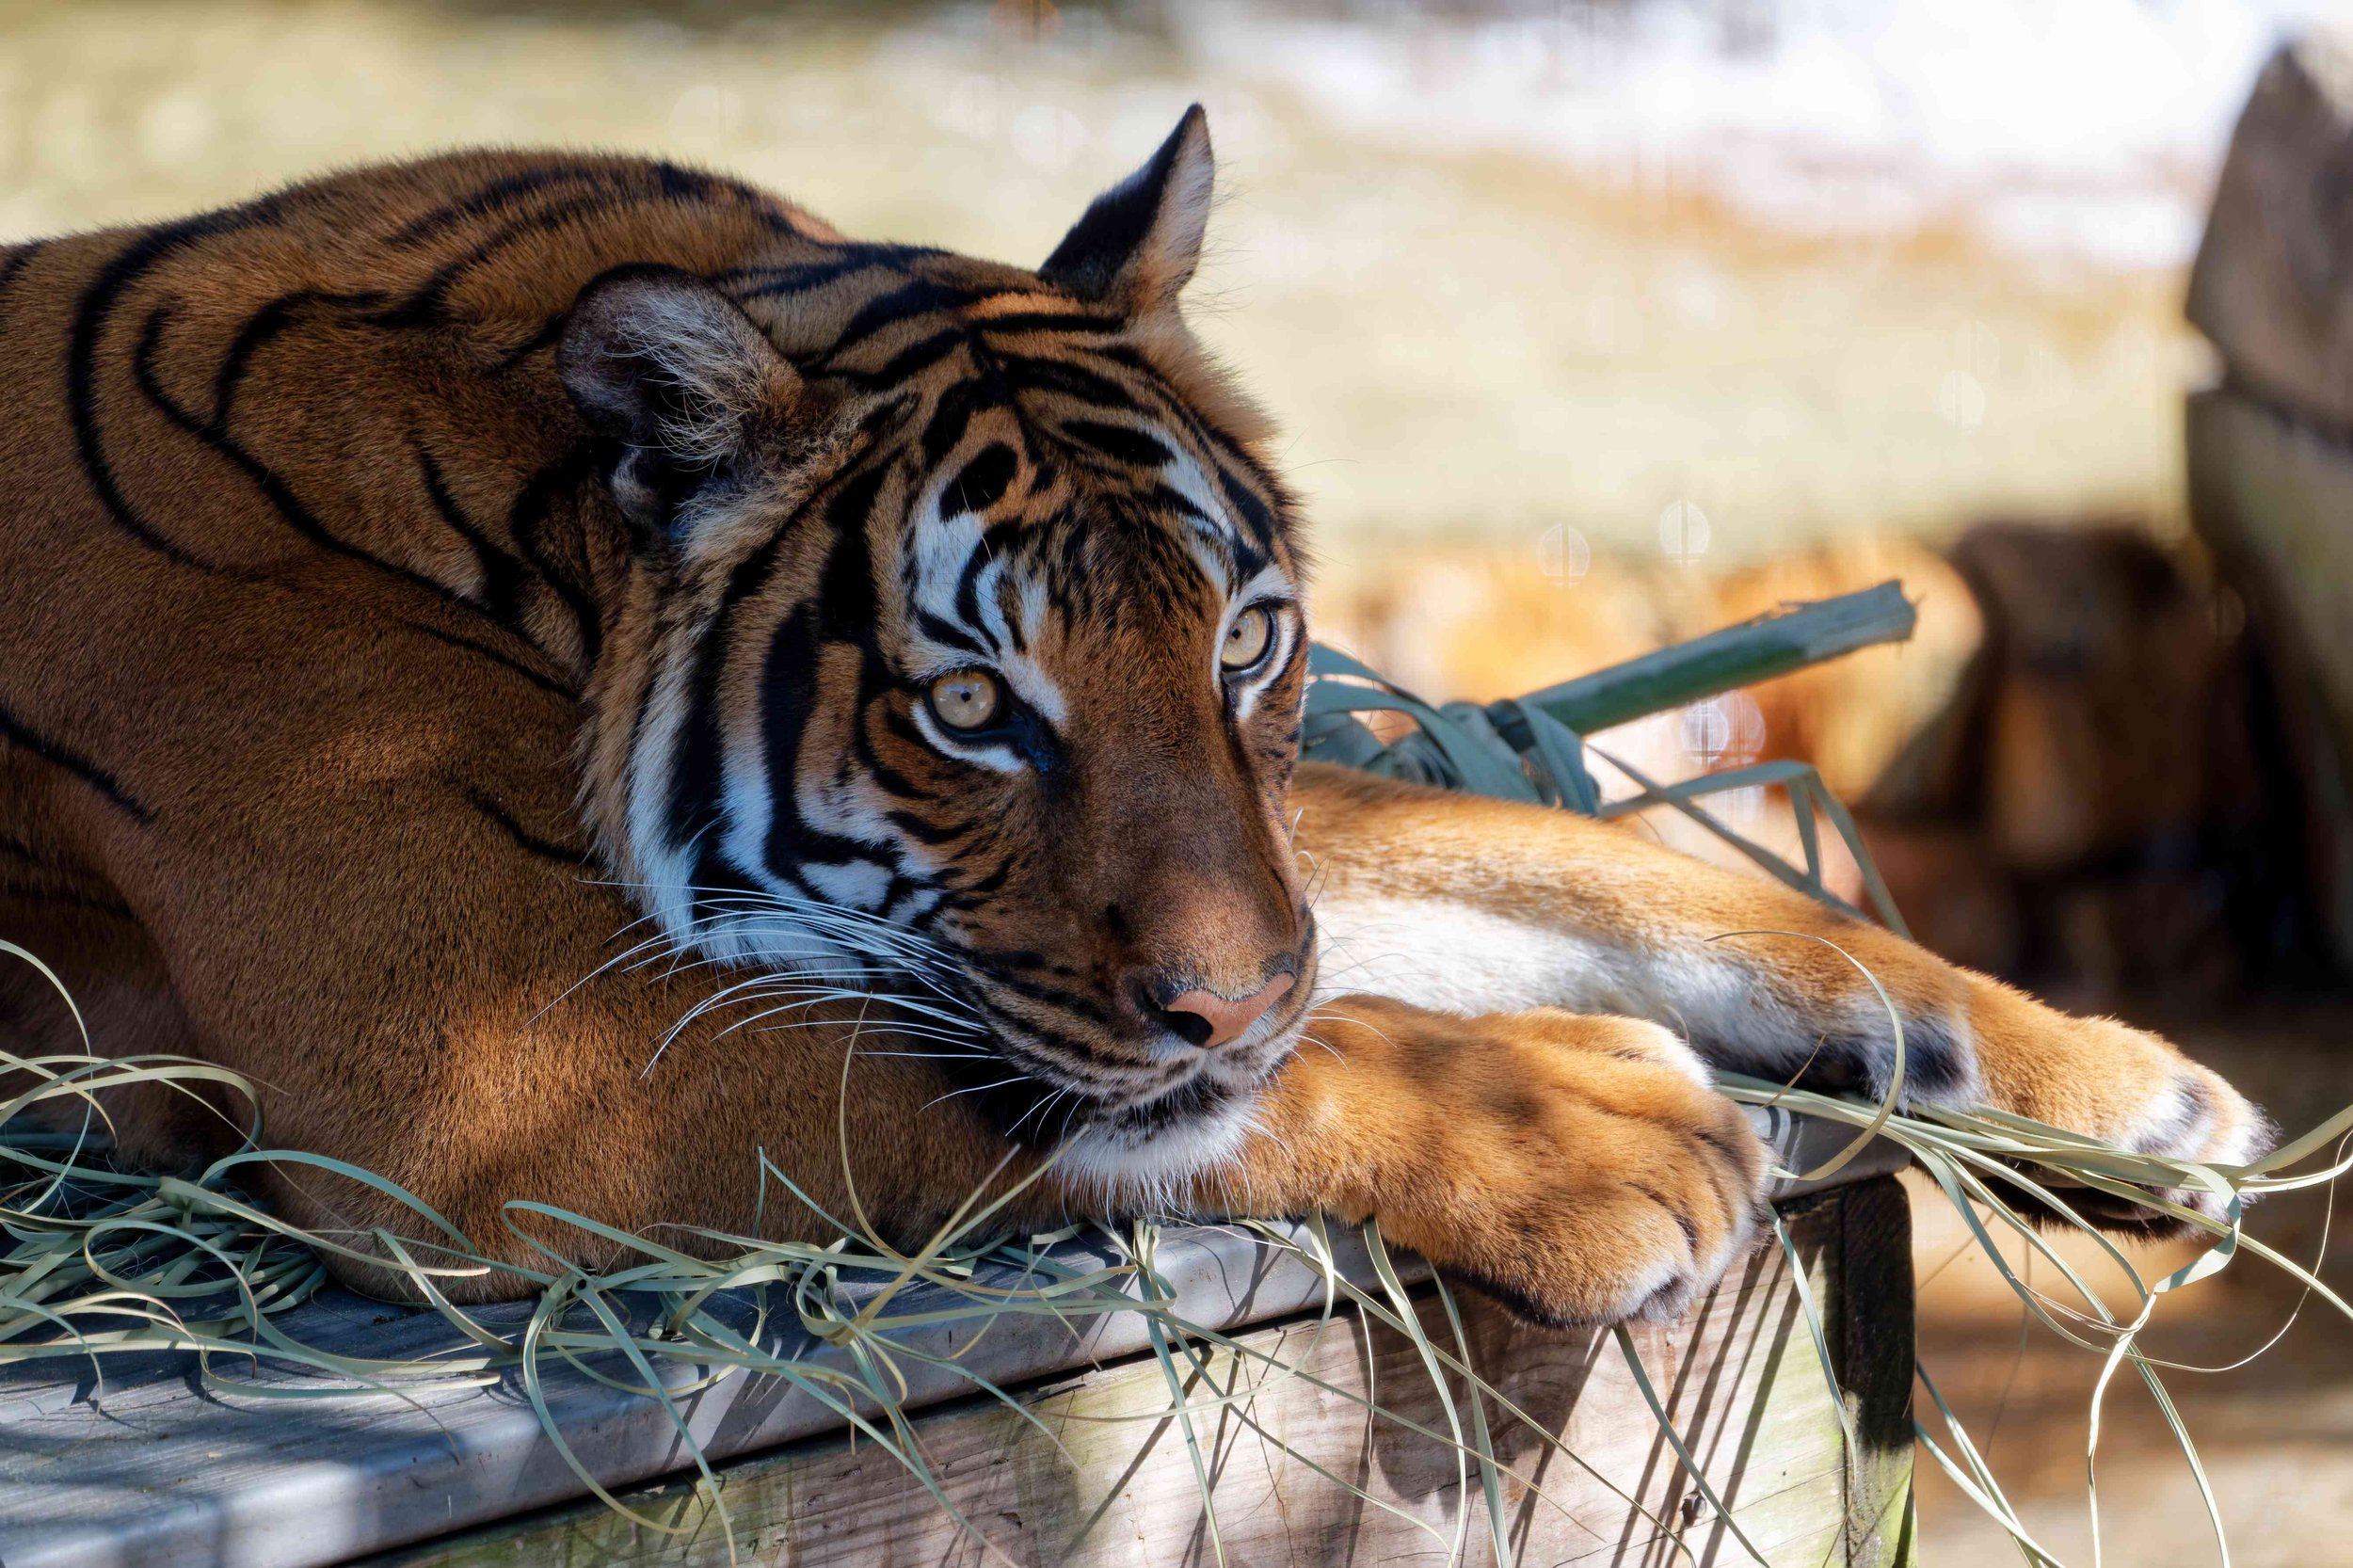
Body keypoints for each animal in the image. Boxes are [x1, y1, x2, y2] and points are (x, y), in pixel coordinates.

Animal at [0, 108, 2271, 1327]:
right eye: (969, 704)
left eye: (1245, 643)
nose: (1238, 994)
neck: (525, 532)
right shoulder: (471, 1064)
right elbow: (1128, 1097)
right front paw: (1600, 1131)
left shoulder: (1269, 844)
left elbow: (1587, 872)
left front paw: (2127, 1095)